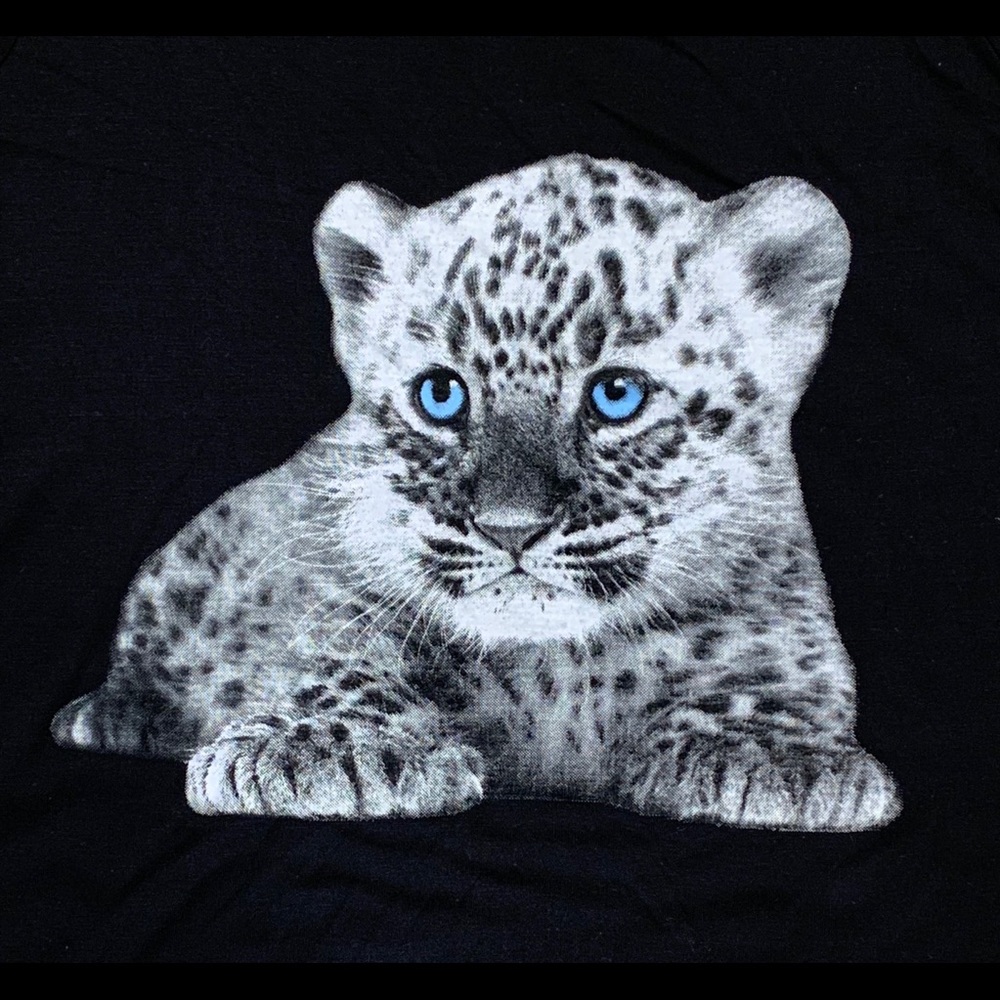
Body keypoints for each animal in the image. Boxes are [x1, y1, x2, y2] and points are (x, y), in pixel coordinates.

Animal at [51, 154, 901, 830]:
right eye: (441, 395)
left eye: (617, 394)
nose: (510, 528)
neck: (559, 675)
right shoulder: (336, 601)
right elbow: (333, 662)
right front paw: (321, 752)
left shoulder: (782, 624)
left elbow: (766, 684)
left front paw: (778, 759)